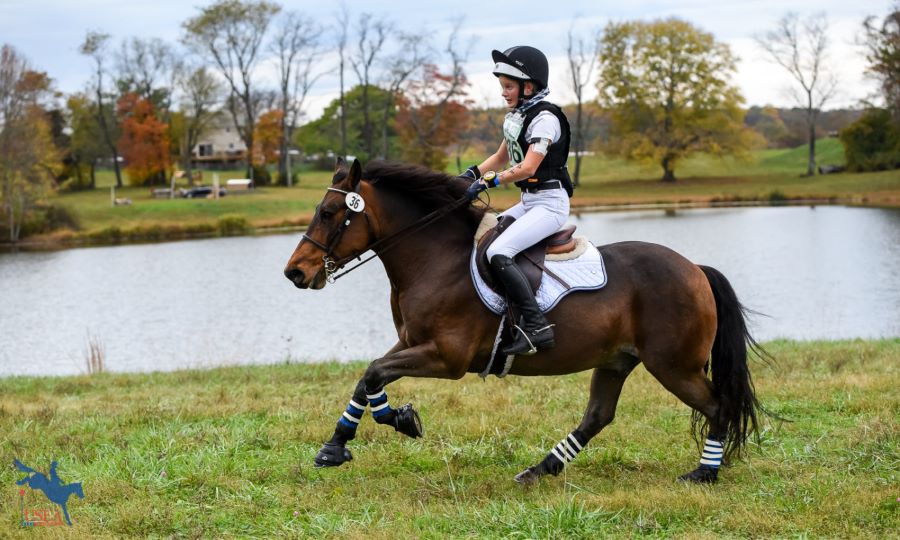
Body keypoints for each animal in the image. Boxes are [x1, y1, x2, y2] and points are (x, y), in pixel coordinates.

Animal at [284, 160, 764, 486]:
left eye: (328, 213)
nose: (295, 273)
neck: (434, 258)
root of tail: (695, 268)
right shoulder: (411, 342)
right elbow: (370, 376)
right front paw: (358, 435)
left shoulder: (447, 358)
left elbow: (375, 372)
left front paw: (382, 426)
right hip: (616, 360)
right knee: (598, 416)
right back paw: (540, 469)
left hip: (673, 366)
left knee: (718, 405)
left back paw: (704, 474)